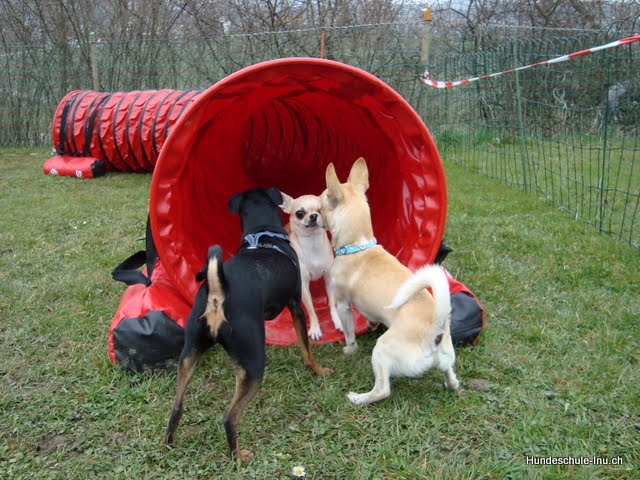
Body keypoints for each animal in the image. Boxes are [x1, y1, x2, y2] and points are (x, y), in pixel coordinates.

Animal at [163, 187, 331, 462]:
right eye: (299, 212)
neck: (262, 234)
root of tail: (217, 295)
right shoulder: (296, 305)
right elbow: (306, 349)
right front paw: (318, 370)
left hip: (188, 354)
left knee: (177, 407)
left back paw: (169, 443)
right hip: (253, 367)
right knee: (229, 418)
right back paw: (239, 456)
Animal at [280, 193, 343, 340]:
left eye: (321, 210)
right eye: (300, 213)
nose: (314, 215)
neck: (313, 243)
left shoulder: (329, 279)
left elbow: (332, 303)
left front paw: (337, 320)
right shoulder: (303, 284)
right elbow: (311, 310)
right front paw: (315, 328)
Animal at [320, 158, 459, 405]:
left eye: (319, 203)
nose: (313, 215)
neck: (358, 244)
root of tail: (435, 327)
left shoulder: (343, 305)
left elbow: (348, 333)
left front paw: (349, 349)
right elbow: (369, 316)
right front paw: (370, 324)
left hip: (382, 350)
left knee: (383, 389)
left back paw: (358, 398)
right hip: (446, 357)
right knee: (451, 375)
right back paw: (450, 383)